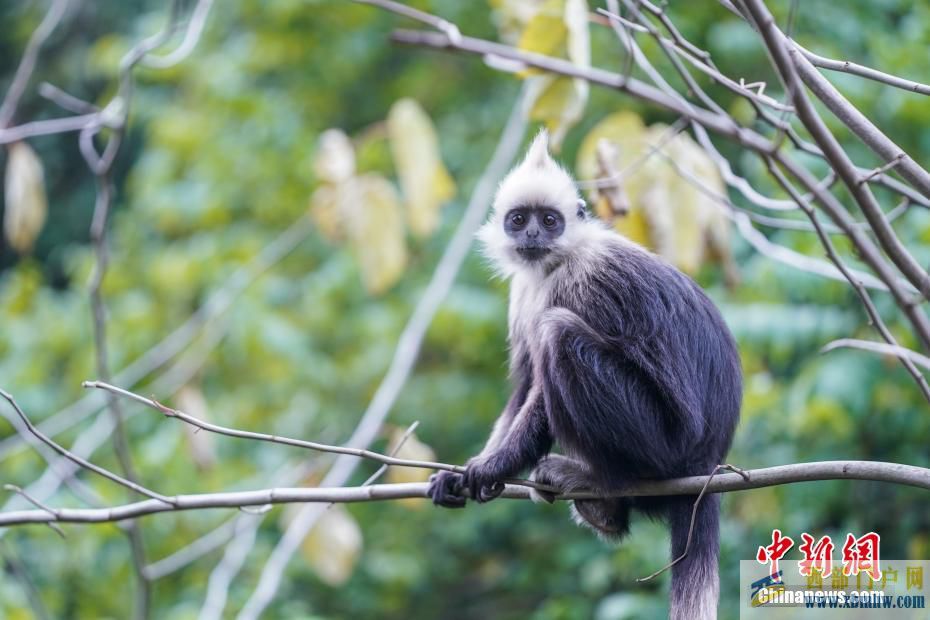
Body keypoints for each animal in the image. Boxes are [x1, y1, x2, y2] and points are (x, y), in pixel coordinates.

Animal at [426, 128, 740, 616]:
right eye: (519, 219)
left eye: (550, 220)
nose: (533, 234)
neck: (552, 264)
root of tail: (709, 459)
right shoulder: (524, 291)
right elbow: (524, 387)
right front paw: (461, 474)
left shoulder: (579, 284)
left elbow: (538, 394)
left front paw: (496, 465)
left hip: (664, 443)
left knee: (557, 334)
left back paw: (609, 483)